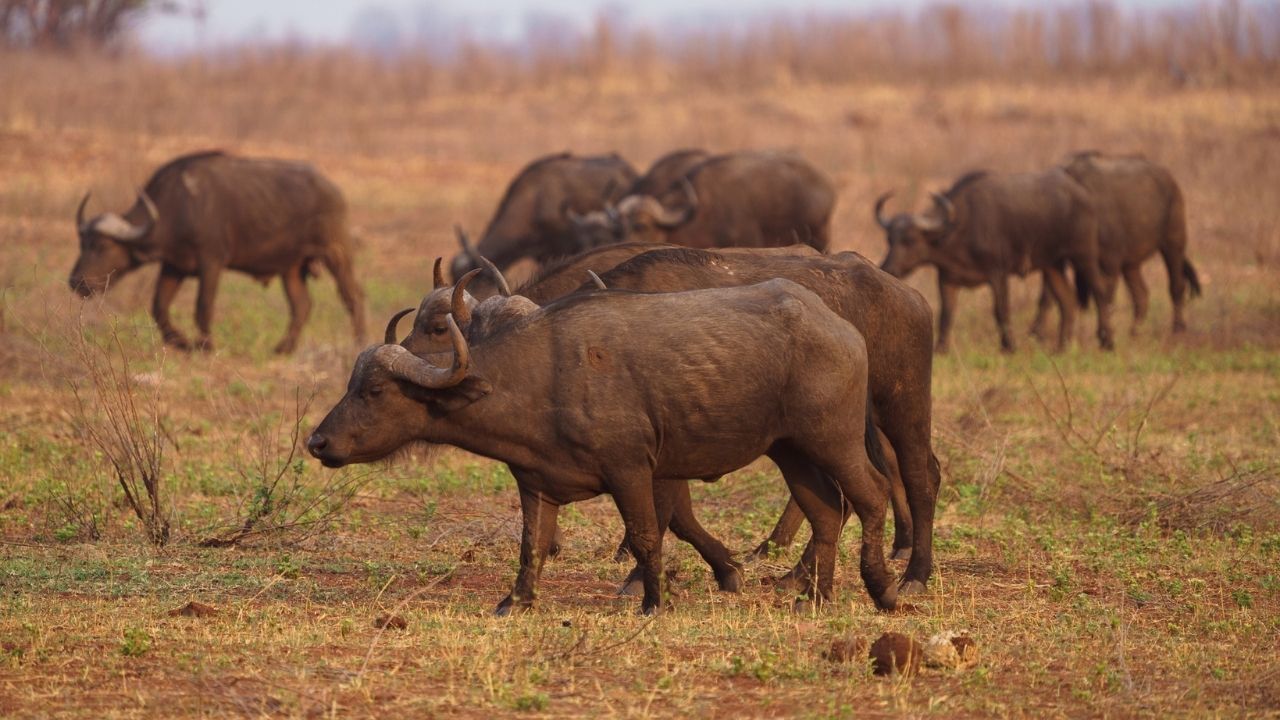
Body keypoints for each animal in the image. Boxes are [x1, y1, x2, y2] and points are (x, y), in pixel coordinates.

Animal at [69, 150, 366, 354]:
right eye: (82, 243)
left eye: (102, 246)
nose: (76, 282)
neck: (179, 206)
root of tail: (333, 189)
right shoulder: (174, 266)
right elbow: (159, 307)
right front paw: (181, 342)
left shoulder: (211, 262)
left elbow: (203, 305)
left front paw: (205, 345)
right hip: (291, 268)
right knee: (302, 305)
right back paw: (284, 347)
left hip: (337, 253)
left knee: (352, 296)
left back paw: (359, 342)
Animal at [310, 282, 897, 615]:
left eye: (374, 390)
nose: (317, 442)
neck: (543, 379)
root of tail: (840, 327)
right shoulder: (535, 481)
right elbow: (531, 545)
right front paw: (514, 602)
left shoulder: (631, 470)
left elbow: (645, 536)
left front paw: (654, 603)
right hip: (790, 449)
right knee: (826, 509)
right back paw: (813, 598)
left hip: (834, 438)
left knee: (872, 495)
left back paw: (882, 591)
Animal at [877, 169, 1115, 353]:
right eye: (889, 239)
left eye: (910, 240)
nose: (888, 267)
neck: (960, 227)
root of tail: (1082, 194)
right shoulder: (948, 279)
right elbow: (946, 314)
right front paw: (941, 349)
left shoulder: (998, 273)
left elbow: (1001, 310)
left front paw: (1009, 346)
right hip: (1052, 266)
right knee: (1068, 301)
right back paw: (1061, 347)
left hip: (1083, 255)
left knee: (1100, 291)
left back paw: (1107, 341)